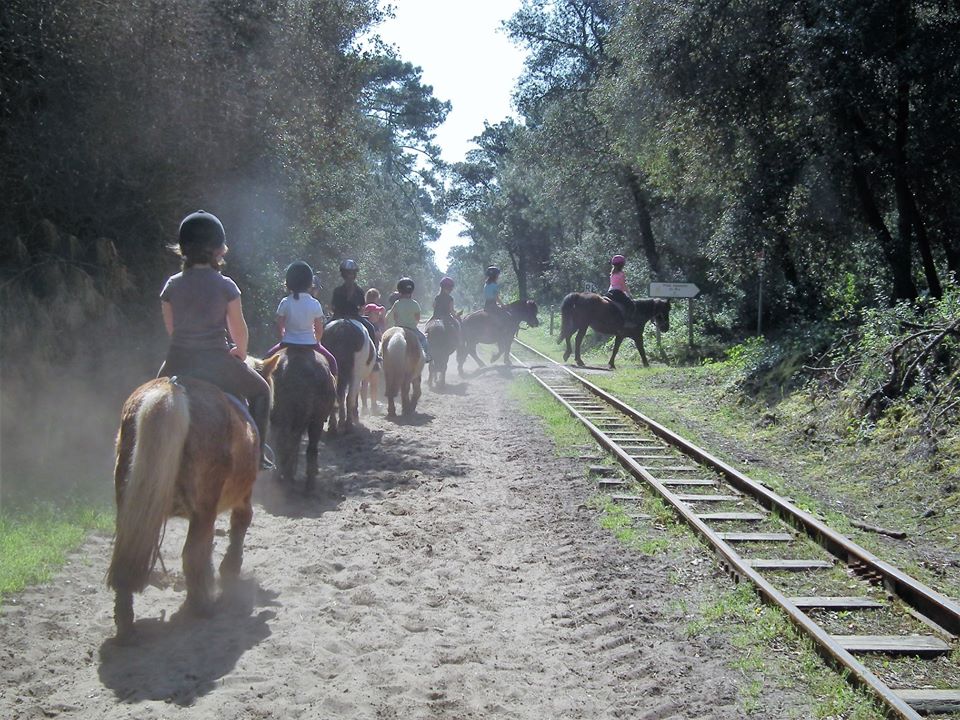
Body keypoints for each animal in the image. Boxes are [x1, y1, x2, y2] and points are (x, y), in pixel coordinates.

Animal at [106, 358, 278, 644]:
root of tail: (172, 391)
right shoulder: (242, 496)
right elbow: (239, 525)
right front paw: (229, 569)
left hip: (130, 501)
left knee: (126, 554)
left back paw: (126, 622)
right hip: (204, 508)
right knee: (192, 553)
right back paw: (203, 606)